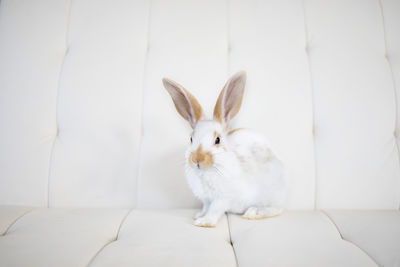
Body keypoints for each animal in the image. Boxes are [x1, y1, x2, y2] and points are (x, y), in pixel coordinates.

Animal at [162, 71, 284, 228]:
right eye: (191, 139)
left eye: (217, 140)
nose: (197, 159)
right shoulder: (206, 199)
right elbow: (206, 207)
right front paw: (199, 215)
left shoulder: (222, 199)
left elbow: (214, 210)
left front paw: (204, 222)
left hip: (270, 195)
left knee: (276, 209)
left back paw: (253, 213)